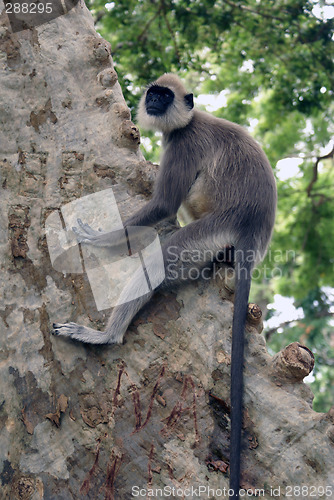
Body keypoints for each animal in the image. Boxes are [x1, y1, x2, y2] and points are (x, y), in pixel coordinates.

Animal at [52, 72, 276, 498]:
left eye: (164, 96)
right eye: (153, 93)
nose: (154, 102)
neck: (187, 121)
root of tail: (253, 231)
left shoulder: (183, 144)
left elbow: (163, 206)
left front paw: (97, 239)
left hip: (210, 232)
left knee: (159, 258)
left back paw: (106, 336)